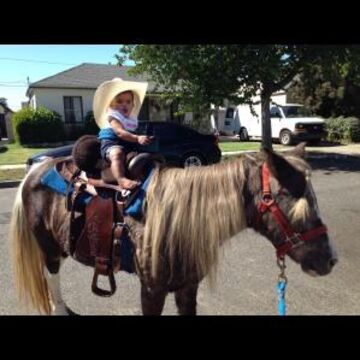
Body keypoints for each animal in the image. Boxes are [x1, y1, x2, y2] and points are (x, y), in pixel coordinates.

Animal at [10, 142, 338, 314]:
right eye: (291, 199)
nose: (330, 260)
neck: (177, 219)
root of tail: (35, 171)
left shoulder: (187, 288)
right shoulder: (152, 291)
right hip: (49, 250)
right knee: (51, 279)